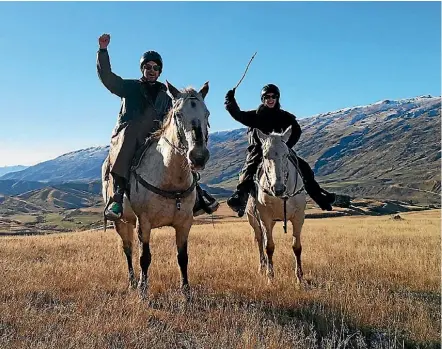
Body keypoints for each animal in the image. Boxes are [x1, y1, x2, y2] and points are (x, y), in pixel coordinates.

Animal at [102, 81, 210, 296]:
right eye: (178, 114)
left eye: (207, 114)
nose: (198, 156)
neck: (169, 177)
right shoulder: (143, 223)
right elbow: (144, 257)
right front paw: (143, 291)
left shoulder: (185, 223)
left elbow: (182, 258)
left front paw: (186, 292)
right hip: (120, 222)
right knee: (128, 251)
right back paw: (132, 282)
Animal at [245, 126, 308, 284]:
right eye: (265, 155)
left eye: (286, 154)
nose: (277, 188)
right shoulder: (265, 218)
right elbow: (269, 247)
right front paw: (270, 277)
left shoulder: (299, 217)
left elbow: (297, 247)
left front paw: (299, 278)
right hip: (254, 220)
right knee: (260, 241)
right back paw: (262, 267)